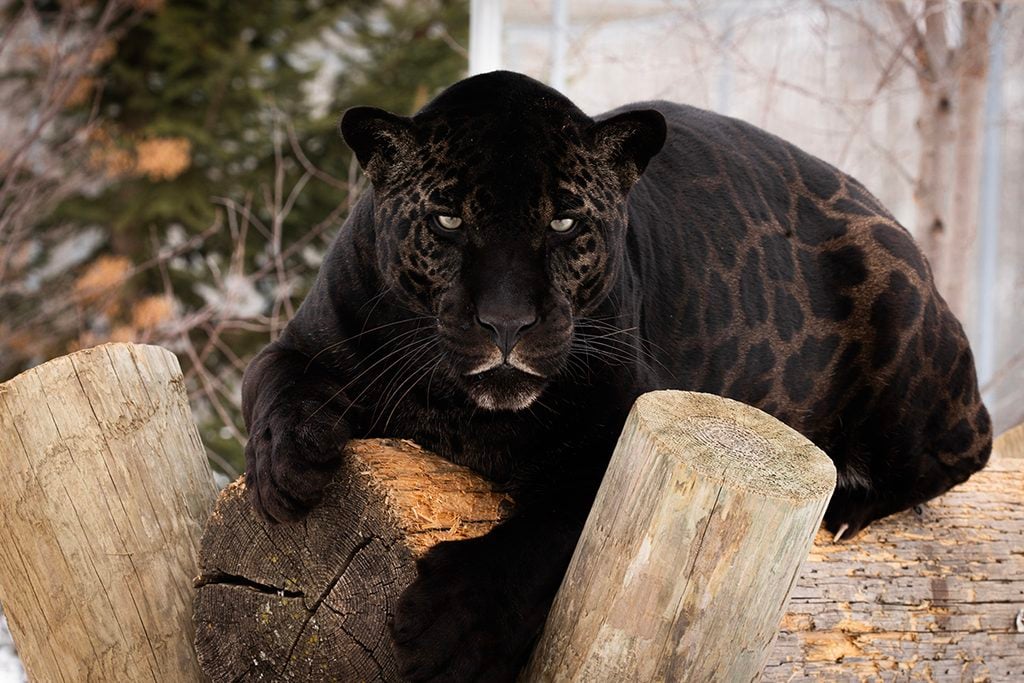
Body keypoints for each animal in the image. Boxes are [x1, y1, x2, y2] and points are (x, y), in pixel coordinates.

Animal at [240, 70, 992, 682]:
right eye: (447, 219)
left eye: (565, 221)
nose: (506, 322)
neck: (459, 406)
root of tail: (886, 213)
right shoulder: (304, 339)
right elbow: (271, 383)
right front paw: (286, 466)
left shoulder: (621, 423)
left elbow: (551, 532)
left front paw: (449, 624)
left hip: (905, 337)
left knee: (967, 448)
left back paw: (845, 508)